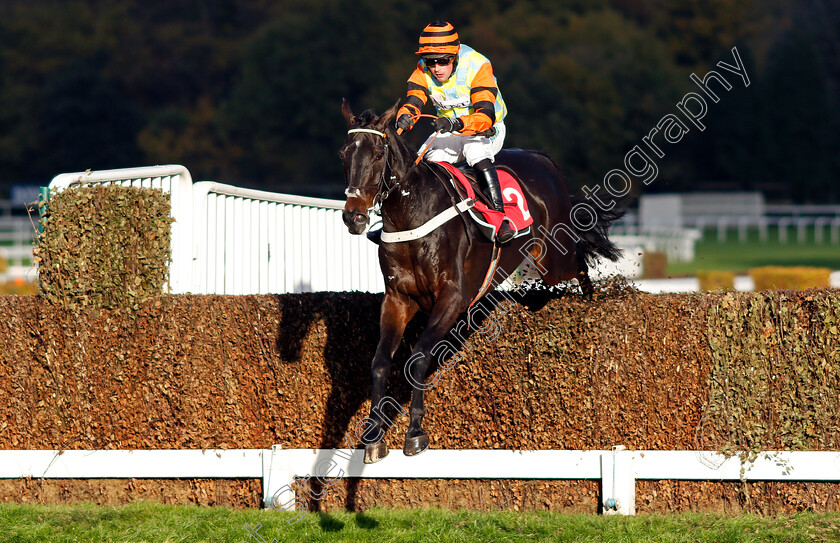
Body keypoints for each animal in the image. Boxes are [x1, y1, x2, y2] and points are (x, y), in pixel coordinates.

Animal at [338, 100, 620, 466]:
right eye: (344, 153)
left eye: (376, 153)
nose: (354, 217)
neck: (412, 215)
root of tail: (543, 159)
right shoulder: (398, 299)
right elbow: (380, 363)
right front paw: (373, 436)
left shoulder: (453, 298)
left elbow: (418, 358)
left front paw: (415, 432)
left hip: (553, 259)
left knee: (581, 264)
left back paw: (591, 303)